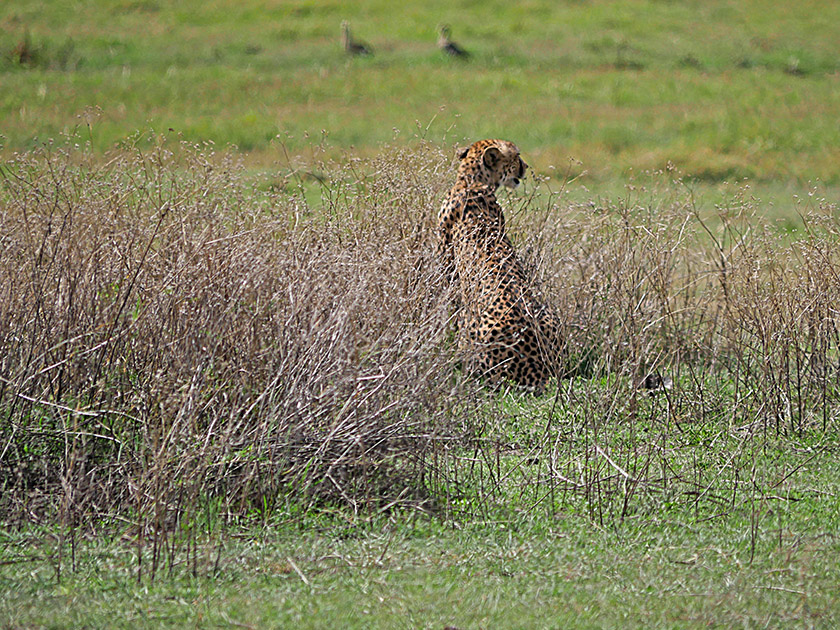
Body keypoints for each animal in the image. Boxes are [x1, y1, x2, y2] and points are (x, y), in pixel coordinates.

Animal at [436, 141, 560, 392]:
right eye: (517, 156)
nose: (526, 166)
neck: (473, 182)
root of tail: (538, 371)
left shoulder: (447, 263)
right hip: (550, 316)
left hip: (472, 326)